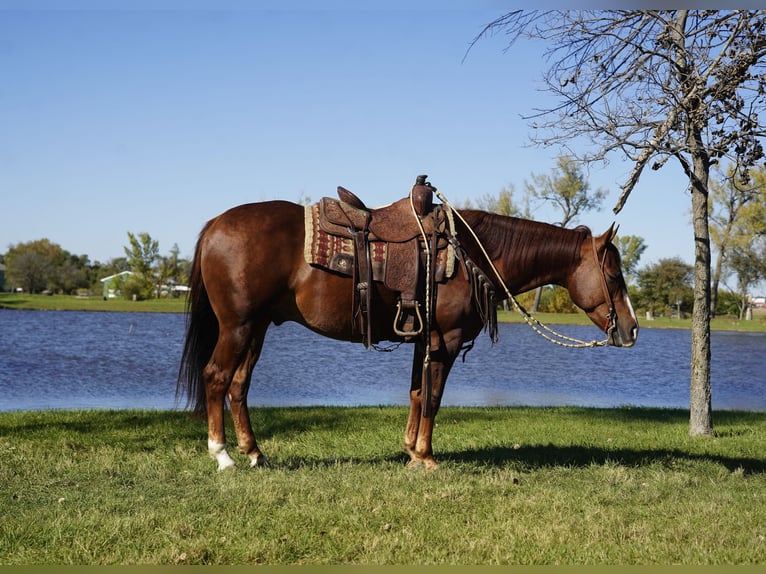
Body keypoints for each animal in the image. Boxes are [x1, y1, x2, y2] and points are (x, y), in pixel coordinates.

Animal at [178, 195, 638, 472]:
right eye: (614, 276)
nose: (632, 330)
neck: (472, 252)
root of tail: (216, 223)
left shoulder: (424, 340)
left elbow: (417, 393)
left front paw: (411, 450)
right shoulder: (446, 340)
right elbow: (433, 398)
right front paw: (427, 457)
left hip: (255, 328)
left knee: (239, 385)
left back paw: (255, 453)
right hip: (237, 326)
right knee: (216, 377)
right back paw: (223, 457)